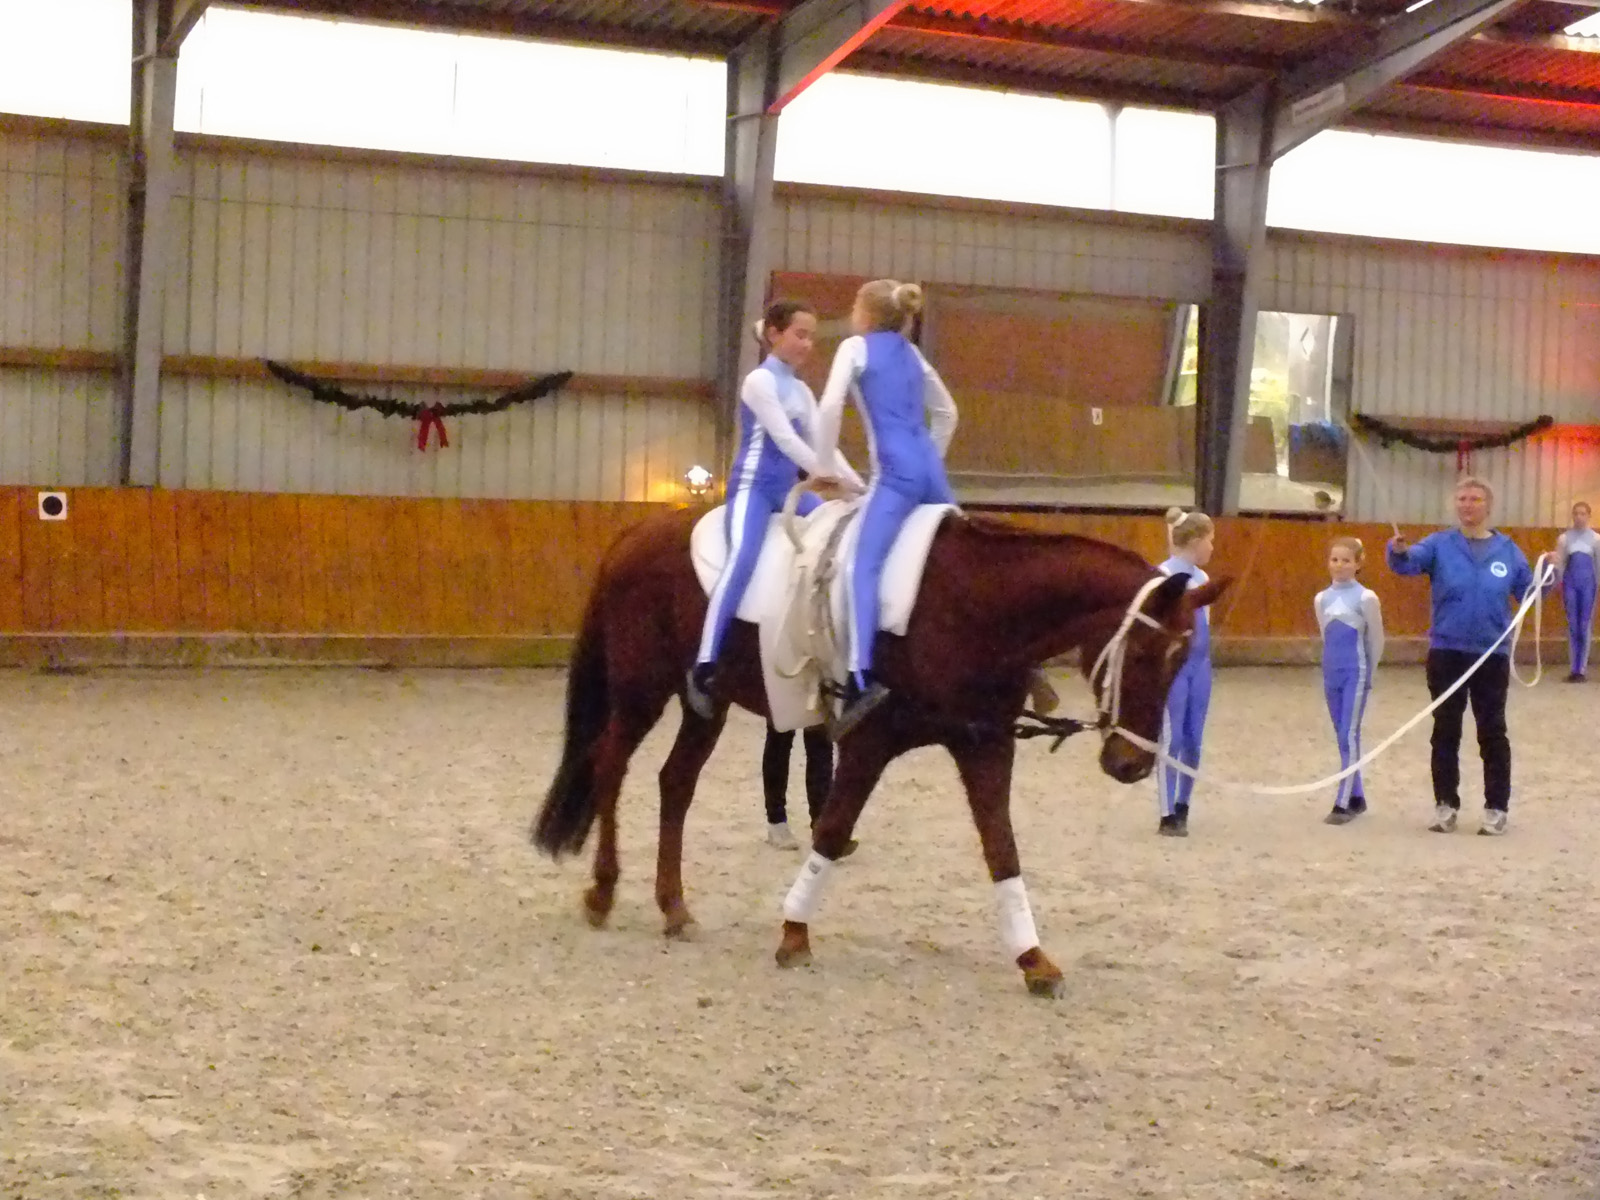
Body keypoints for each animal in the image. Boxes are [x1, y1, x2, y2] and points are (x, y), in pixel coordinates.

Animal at [532, 503, 1228, 996]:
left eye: (1182, 661)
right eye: (1144, 651)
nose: (1132, 764)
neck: (972, 606)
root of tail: (636, 532)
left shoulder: (983, 744)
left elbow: (1001, 848)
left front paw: (1034, 960)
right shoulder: (870, 740)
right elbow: (833, 828)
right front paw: (794, 935)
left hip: (707, 697)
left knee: (675, 782)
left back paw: (673, 908)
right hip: (641, 688)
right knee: (610, 764)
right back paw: (602, 892)